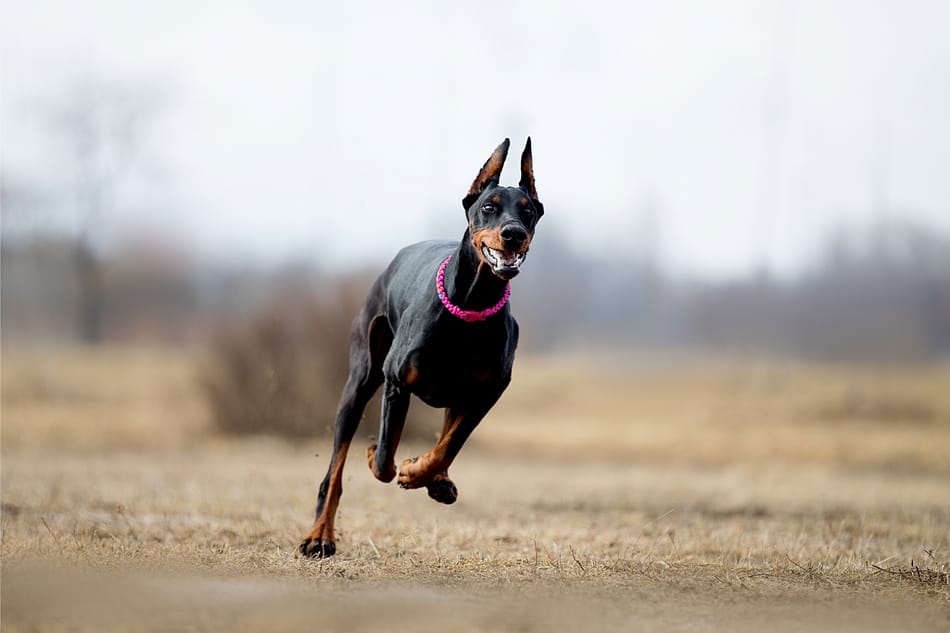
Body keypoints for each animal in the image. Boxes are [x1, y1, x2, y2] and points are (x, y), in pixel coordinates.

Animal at [302, 139, 548, 556]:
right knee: (334, 471)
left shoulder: (486, 393)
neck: (471, 303)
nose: (513, 233)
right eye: (489, 207)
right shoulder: (396, 382)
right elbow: (384, 461)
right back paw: (320, 536)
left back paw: (437, 481)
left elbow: (449, 444)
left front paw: (423, 473)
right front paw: (384, 458)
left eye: (528, 210)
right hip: (360, 380)